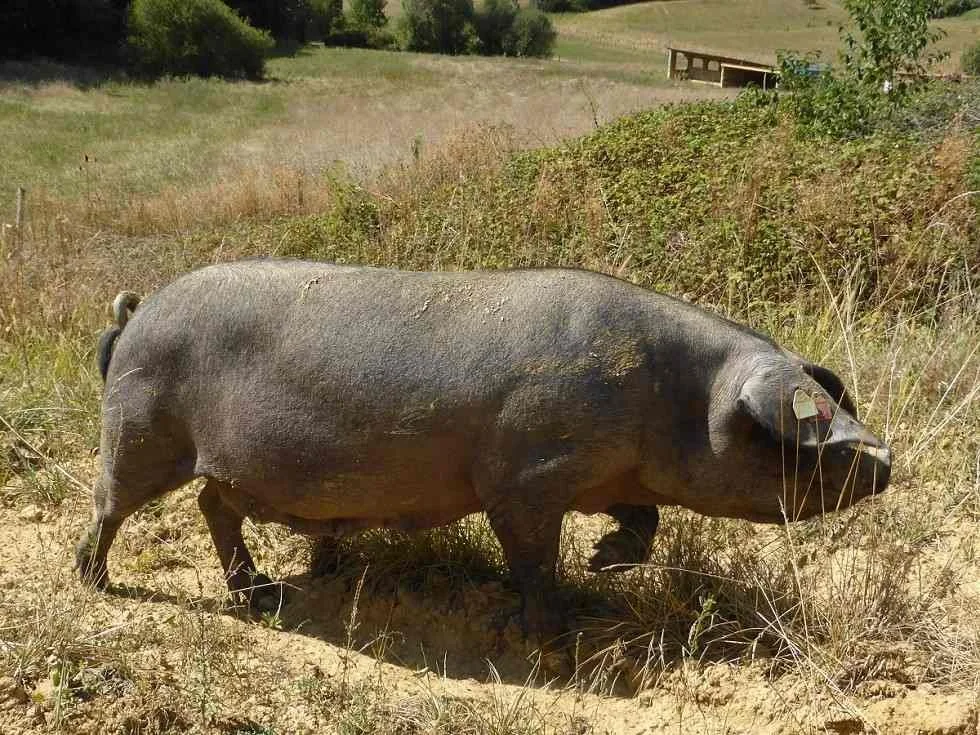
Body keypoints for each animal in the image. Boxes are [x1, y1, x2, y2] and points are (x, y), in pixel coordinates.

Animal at [76, 260, 891, 637]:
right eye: (816, 436)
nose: (886, 460)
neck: (668, 400)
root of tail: (137, 312)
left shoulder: (606, 477)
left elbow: (645, 520)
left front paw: (604, 562)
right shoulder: (524, 475)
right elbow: (531, 556)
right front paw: (555, 627)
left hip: (227, 465)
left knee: (214, 505)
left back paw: (263, 593)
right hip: (141, 426)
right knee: (113, 502)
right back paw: (93, 579)